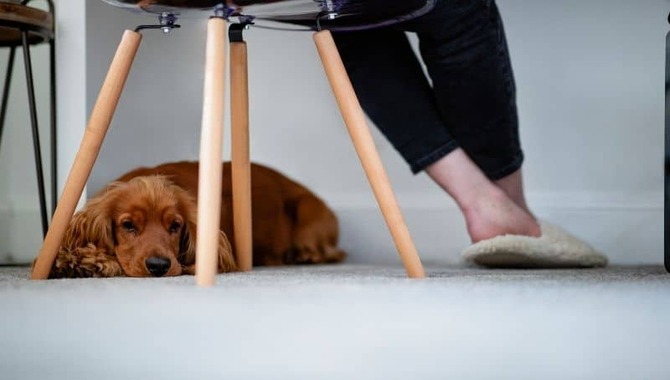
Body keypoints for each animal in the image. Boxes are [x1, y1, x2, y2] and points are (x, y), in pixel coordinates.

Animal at [48, 161, 346, 280]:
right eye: (128, 225)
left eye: (175, 226)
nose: (158, 266)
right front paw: (75, 261)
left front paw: (92, 263)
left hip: (309, 211)